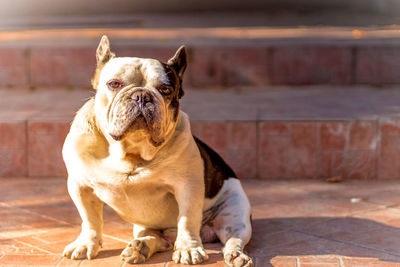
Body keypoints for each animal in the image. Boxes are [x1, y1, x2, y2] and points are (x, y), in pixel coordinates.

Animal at [62, 36, 253, 267]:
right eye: (114, 84)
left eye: (166, 90)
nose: (141, 96)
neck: (132, 152)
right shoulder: (80, 186)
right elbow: (89, 219)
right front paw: (85, 243)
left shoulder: (188, 187)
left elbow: (187, 220)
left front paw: (189, 249)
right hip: (143, 225)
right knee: (159, 239)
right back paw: (140, 248)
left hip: (236, 213)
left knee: (233, 237)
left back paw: (236, 256)